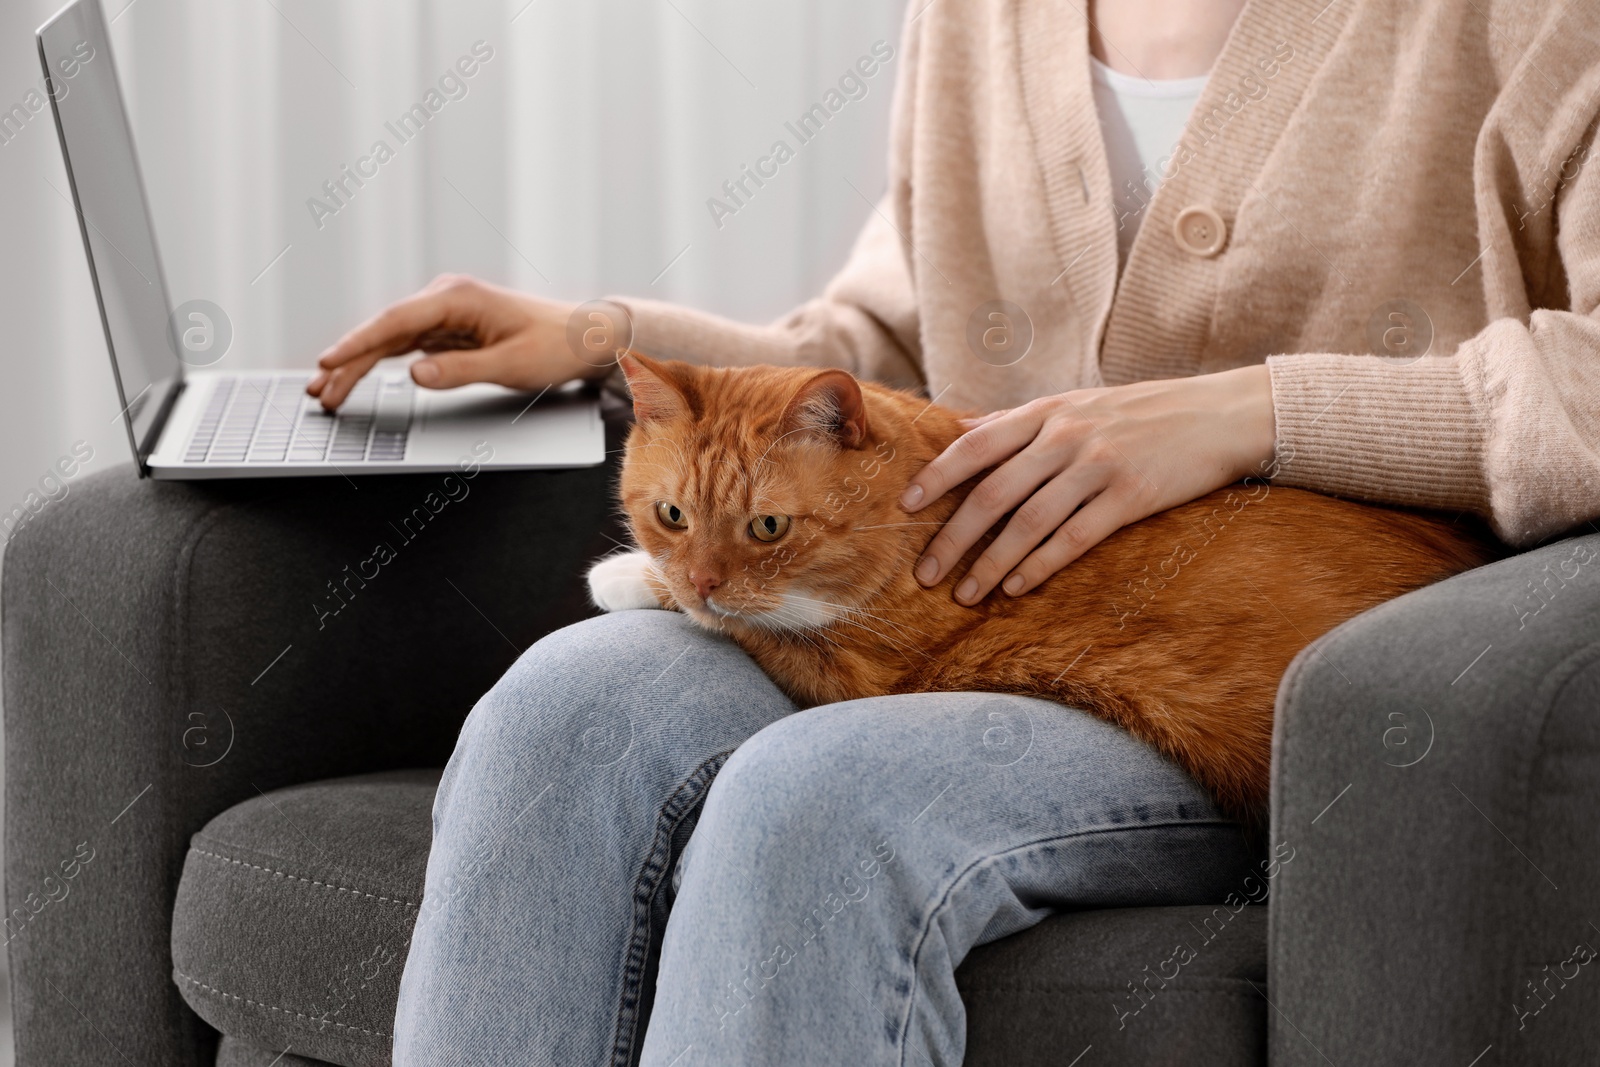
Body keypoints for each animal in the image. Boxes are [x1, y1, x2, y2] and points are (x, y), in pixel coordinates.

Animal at [588, 356, 1497, 819]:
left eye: (769, 527)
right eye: (672, 513)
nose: (702, 578)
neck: (921, 513)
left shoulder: (852, 667)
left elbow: (752, 621)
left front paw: (625, 575)